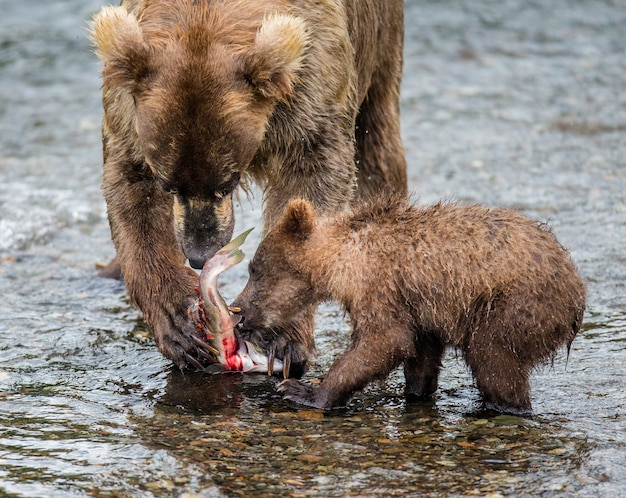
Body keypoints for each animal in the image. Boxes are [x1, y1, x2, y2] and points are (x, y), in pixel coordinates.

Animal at [90, 0, 408, 370]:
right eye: (170, 185)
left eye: (226, 183)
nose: (199, 255)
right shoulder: (128, 114)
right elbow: (132, 193)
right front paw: (180, 324)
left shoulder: (311, 89)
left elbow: (313, 179)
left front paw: (280, 333)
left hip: (381, 50)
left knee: (377, 156)